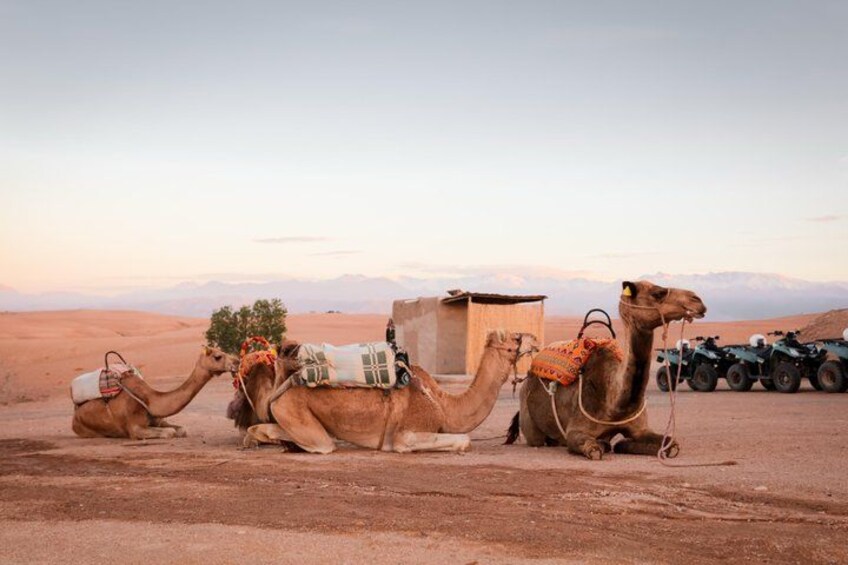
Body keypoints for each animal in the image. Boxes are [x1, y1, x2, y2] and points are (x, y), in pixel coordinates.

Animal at [72, 346, 239, 440]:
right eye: (218, 356)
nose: (237, 362)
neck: (150, 400)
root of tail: (75, 414)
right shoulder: (134, 428)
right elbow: (169, 432)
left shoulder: (159, 420)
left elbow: (181, 430)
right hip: (84, 430)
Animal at [229, 331, 539, 453]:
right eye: (515, 338)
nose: (535, 339)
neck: (443, 404)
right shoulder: (405, 433)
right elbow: (464, 440)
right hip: (297, 414)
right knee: (321, 444)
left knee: (262, 429)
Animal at [506, 280, 707, 460]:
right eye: (658, 292)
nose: (698, 301)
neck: (614, 404)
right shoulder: (575, 431)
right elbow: (594, 448)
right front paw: (604, 444)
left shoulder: (640, 429)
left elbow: (671, 446)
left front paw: (622, 444)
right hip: (530, 423)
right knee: (539, 439)